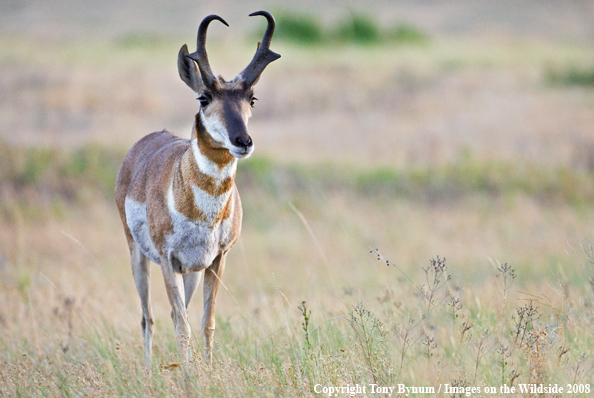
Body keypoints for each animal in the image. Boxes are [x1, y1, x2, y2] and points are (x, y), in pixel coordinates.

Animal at [117, 10, 280, 366]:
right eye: (204, 98)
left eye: (251, 98)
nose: (243, 141)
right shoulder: (168, 260)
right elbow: (181, 325)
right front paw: (189, 373)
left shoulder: (216, 260)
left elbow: (206, 321)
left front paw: (206, 369)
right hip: (138, 256)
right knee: (148, 317)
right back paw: (149, 370)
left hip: (190, 272)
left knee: (178, 314)